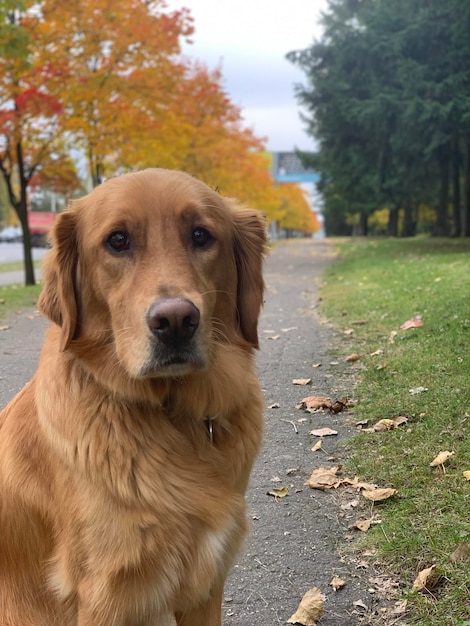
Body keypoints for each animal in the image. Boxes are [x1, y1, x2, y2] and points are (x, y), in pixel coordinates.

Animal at [0, 168, 266, 620]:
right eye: (118, 240)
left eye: (201, 235)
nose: (175, 321)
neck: (172, 415)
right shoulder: (109, 595)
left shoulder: (207, 584)